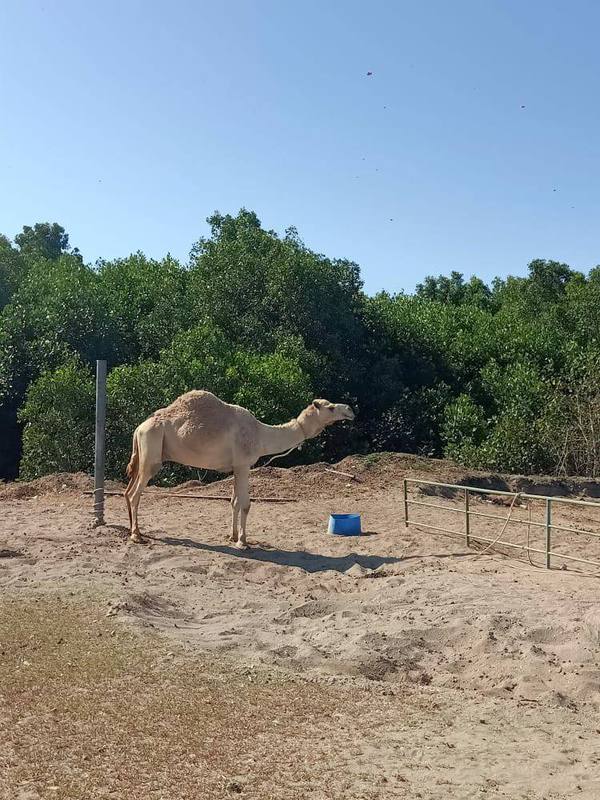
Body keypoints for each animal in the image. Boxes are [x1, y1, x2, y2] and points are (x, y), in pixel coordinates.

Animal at [123, 390, 354, 548]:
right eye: (330, 407)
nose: (351, 410)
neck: (261, 434)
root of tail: (139, 427)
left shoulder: (235, 466)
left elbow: (233, 502)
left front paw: (232, 536)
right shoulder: (244, 465)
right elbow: (245, 504)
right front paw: (243, 541)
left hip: (144, 453)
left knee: (128, 491)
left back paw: (133, 530)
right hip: (152, 451)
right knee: (135, 493)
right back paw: (137, 535)